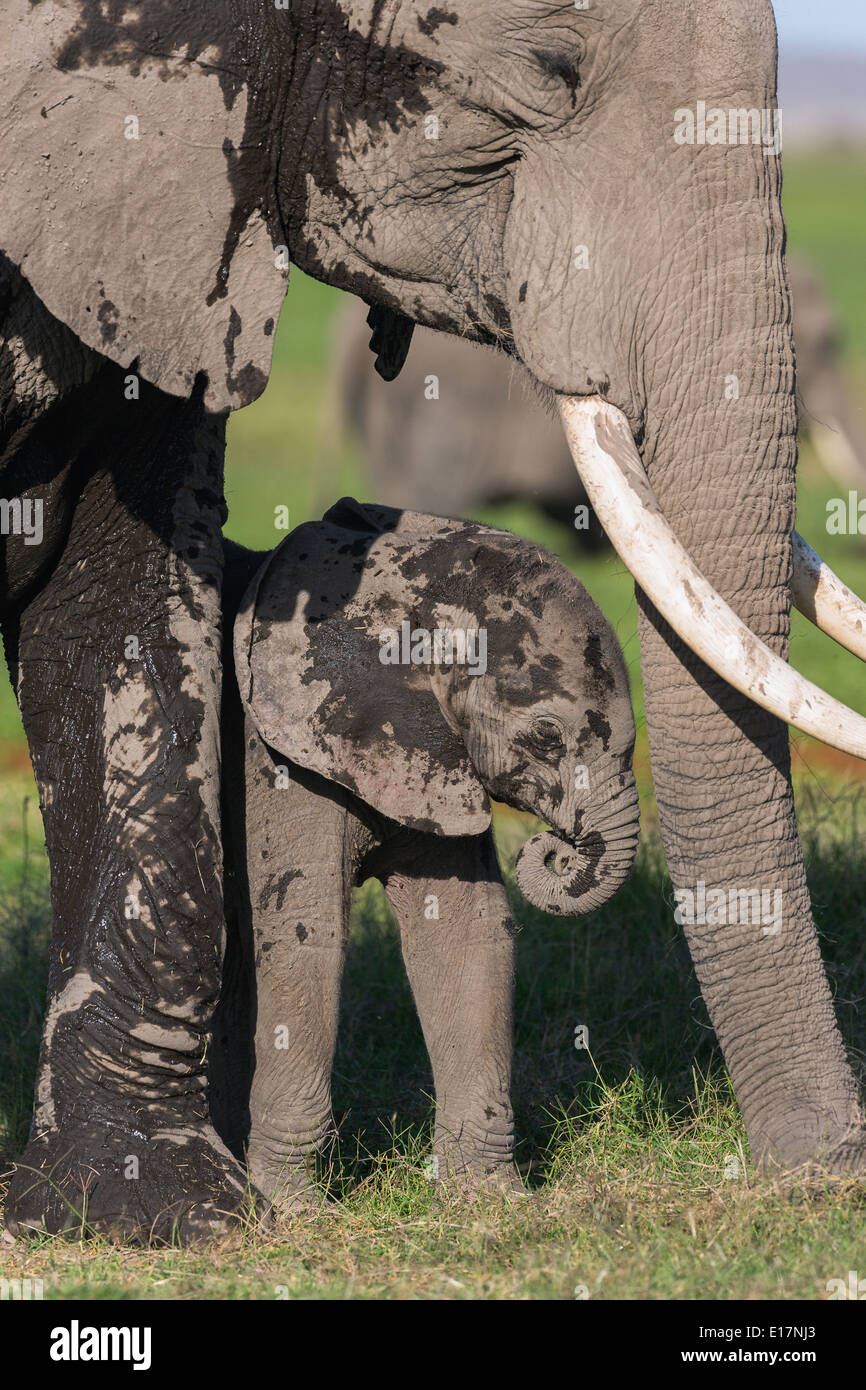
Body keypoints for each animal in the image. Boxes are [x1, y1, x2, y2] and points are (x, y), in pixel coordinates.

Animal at [214, 503, 639, 1206]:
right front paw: (288, 1209)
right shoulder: (279, 753)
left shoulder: (432, 752)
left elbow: (465, 930)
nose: (552, 849)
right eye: (547, 737)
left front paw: (493, 1201)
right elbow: (305, 931)